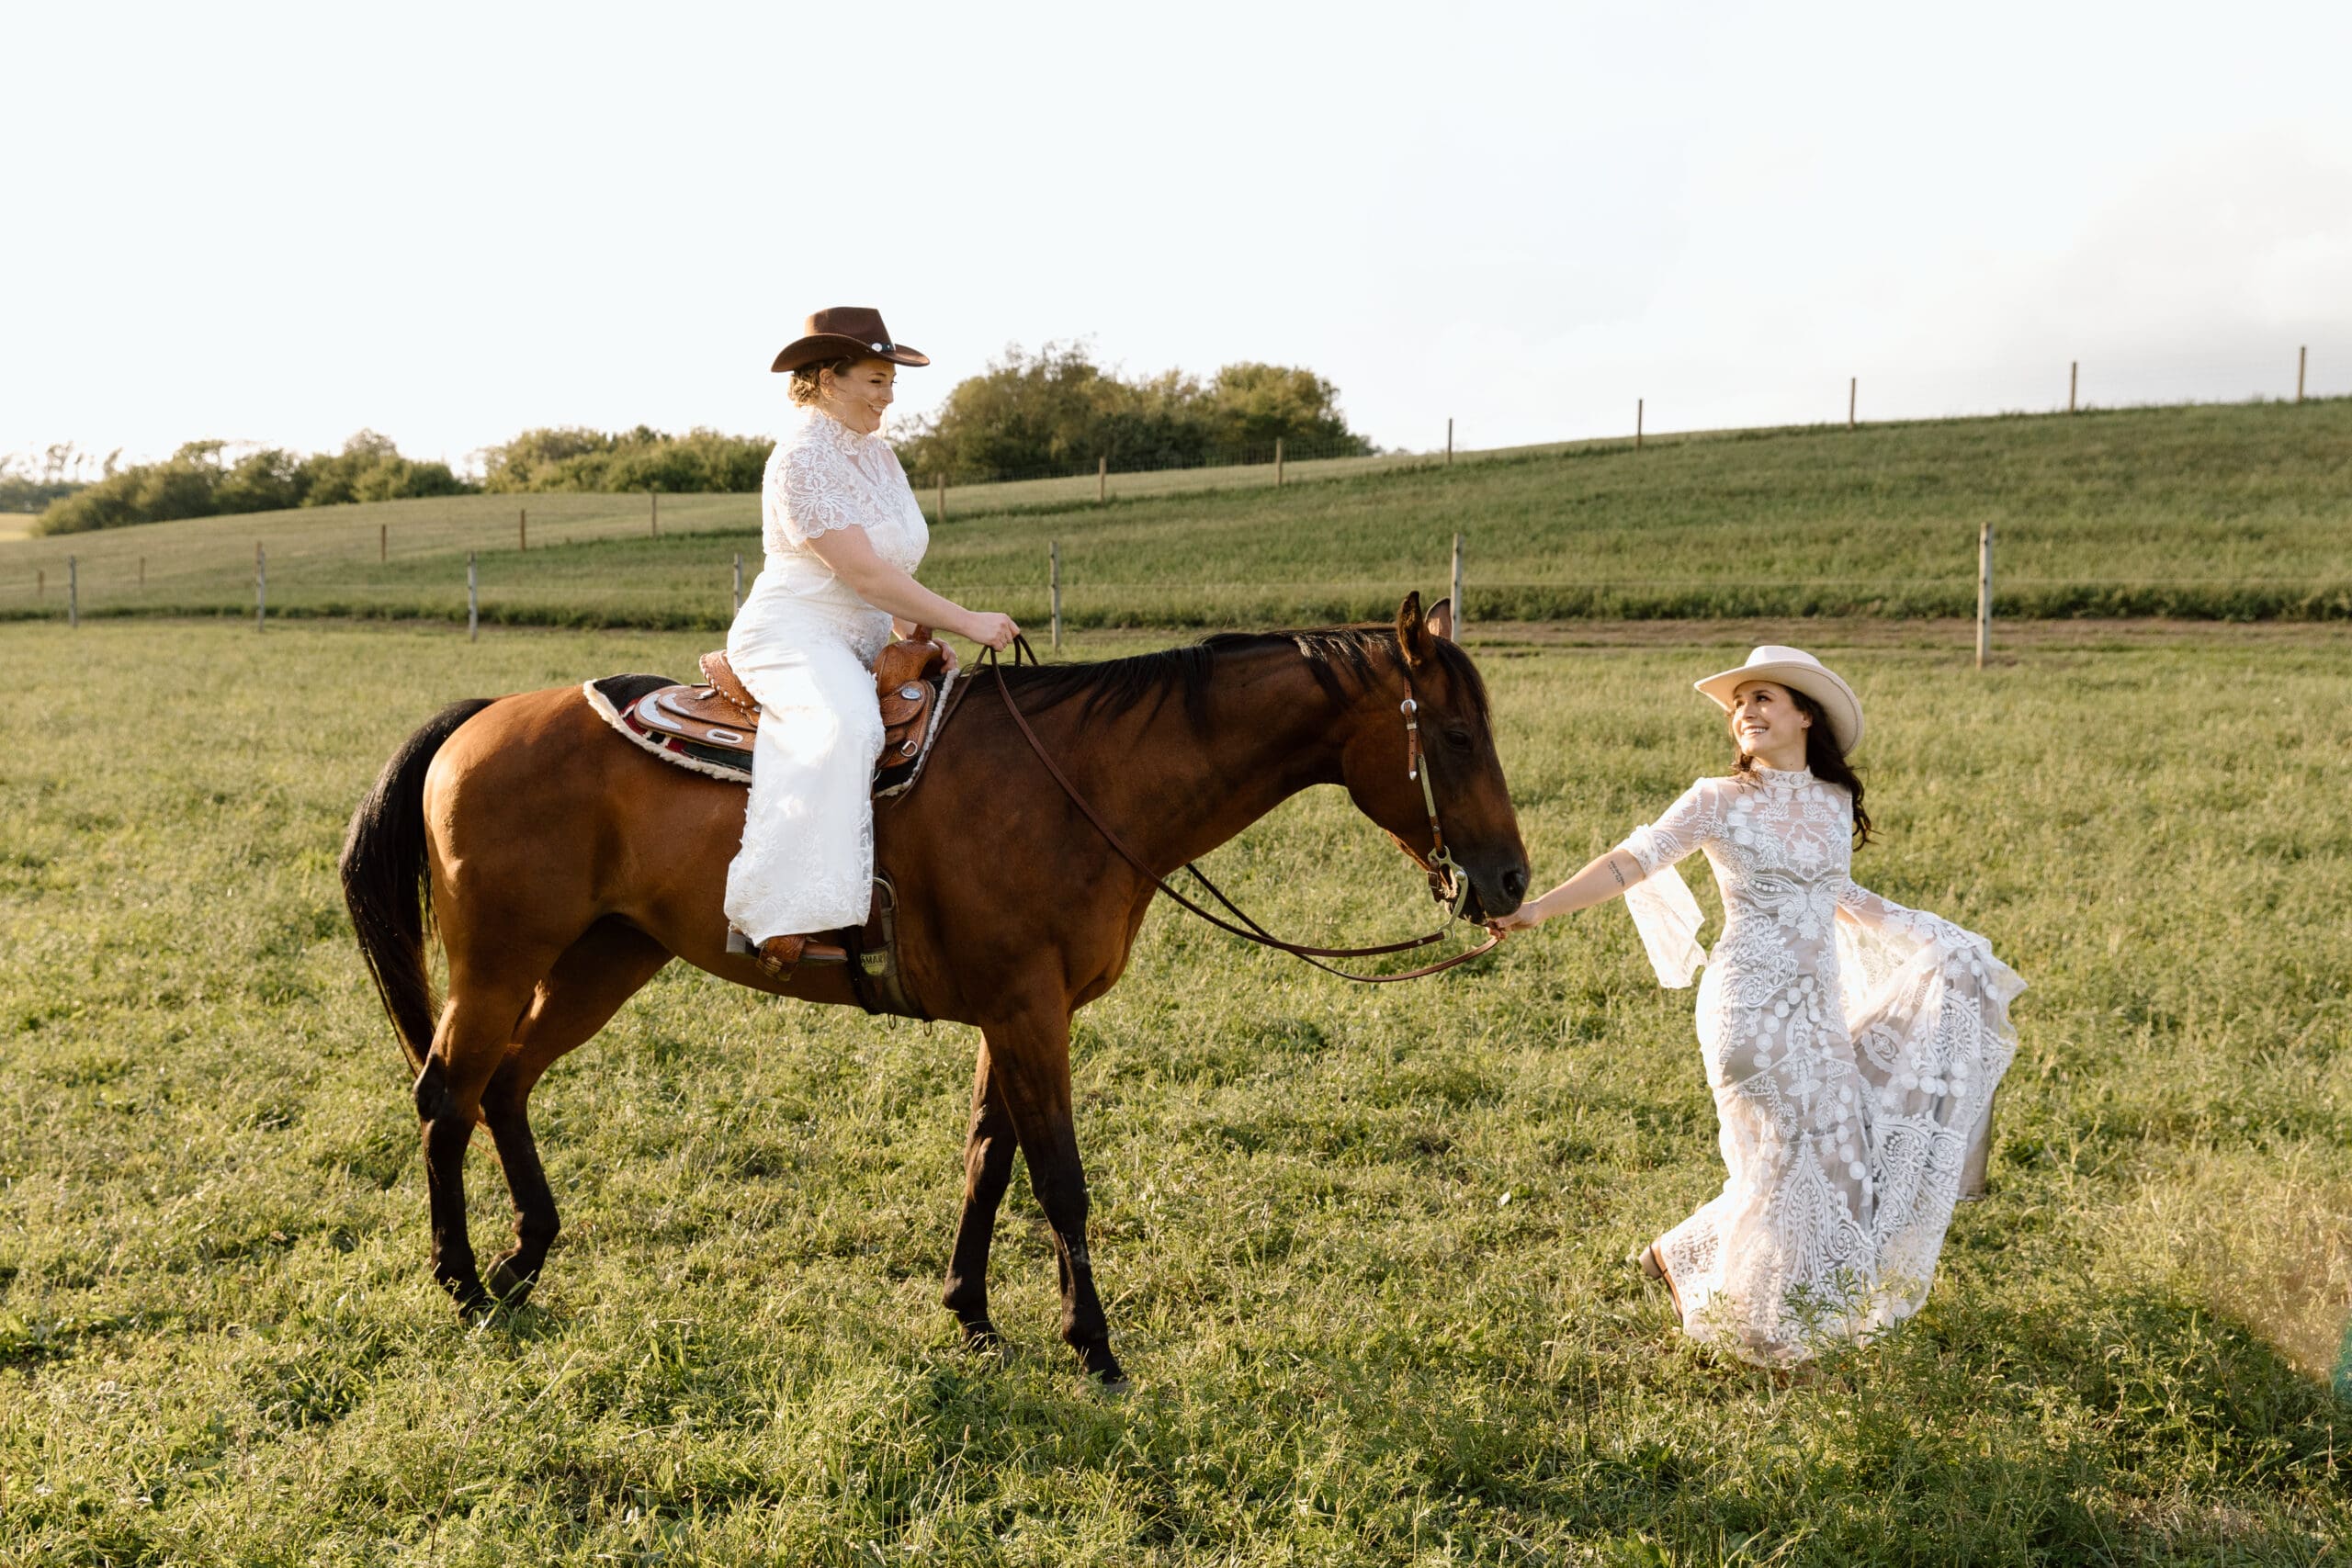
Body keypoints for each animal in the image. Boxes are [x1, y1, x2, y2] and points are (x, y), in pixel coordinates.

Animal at [341, 594, 1533, 1382]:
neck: (1082, 784)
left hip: (607, 955)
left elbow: (986, 1161)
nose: (1511, 881)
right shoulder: (1029, 1013)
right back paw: (460, 1280)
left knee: (505, 1083)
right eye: (1456, 733)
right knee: (447, 1092)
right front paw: (1094, 1345)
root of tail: (482, 718)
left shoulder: (1012, 1013)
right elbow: (1058, 1177)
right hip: (503, 956)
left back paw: (522, 1259)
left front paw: (973, 1316)